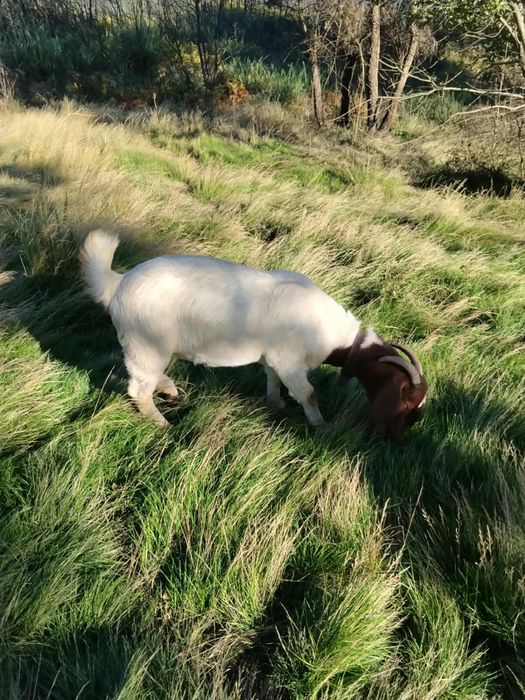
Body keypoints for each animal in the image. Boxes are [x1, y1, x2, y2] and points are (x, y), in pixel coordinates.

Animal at [81, 230, 427, 438]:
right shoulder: (290, 362)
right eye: (407, 401)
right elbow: (308, 393)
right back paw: (162, 422)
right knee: (138, 389)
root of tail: (118, 283)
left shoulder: (274, 358)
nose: (396, 438)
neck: (333, 334)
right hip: (146, 344)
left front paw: (275, 403)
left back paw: (169, 389)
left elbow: (272, 378)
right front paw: (321, 424)